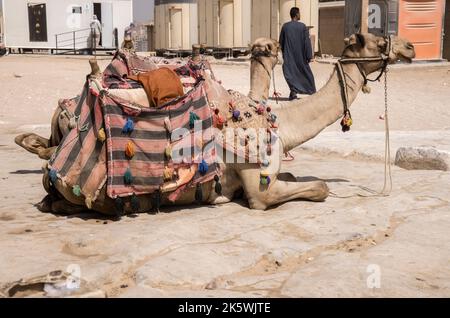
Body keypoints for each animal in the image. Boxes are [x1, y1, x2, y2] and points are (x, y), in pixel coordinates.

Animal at [14, 33, 414, 216]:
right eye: (375, 40)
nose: (409, 47)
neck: (278, 121)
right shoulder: (259, 188)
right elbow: (318, 188)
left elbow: (298, 177)